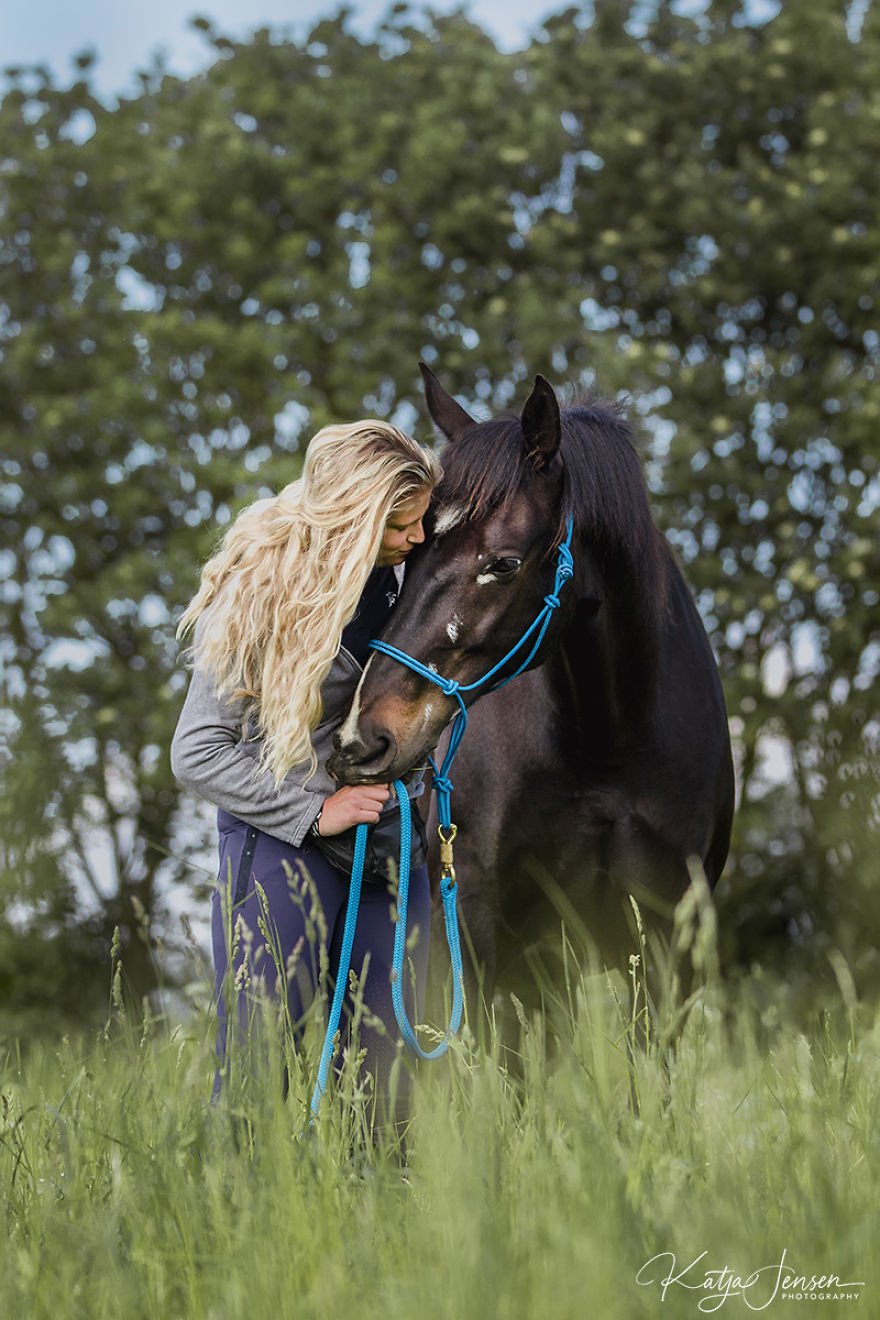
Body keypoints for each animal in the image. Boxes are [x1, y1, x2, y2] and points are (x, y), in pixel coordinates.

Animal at [328, 365, 735, 1010]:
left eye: (504, 564)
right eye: (411, 555)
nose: (360, 740)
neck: (606, 748)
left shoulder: (669, 943)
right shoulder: (479, 934)